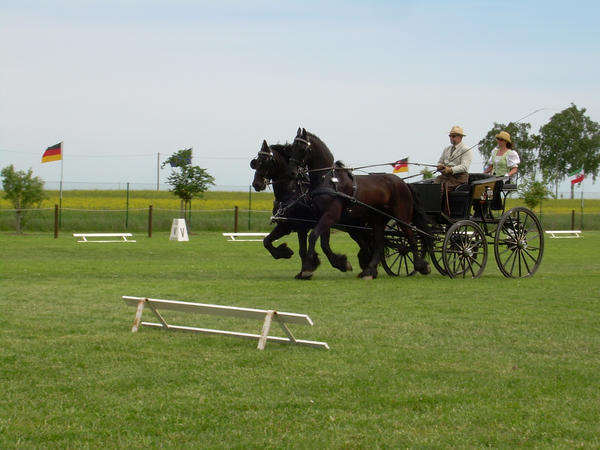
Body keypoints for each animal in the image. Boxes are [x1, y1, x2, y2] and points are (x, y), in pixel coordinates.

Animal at [250, 140, 354, 278]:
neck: (291, 192)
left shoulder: (301, 227)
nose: (256, 184)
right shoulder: (285, 225)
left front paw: (307, 269)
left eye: (266, 161)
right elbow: (266, 241)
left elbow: (303, 250)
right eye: (256, 162)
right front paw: (284, 252)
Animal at [288, 128, 432, 280]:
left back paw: (421, 265)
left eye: (302, 148)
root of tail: (404, 183)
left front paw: (307, 268)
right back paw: (370, 270)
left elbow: (313, 236)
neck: (328, 180)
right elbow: (324, 244)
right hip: (379, 218)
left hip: (401, 215)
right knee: (379, 243)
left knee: (410, 236)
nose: (291, 172)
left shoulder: (330, 215)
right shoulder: (323, 216)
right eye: (292, 147)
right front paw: (340, 263)